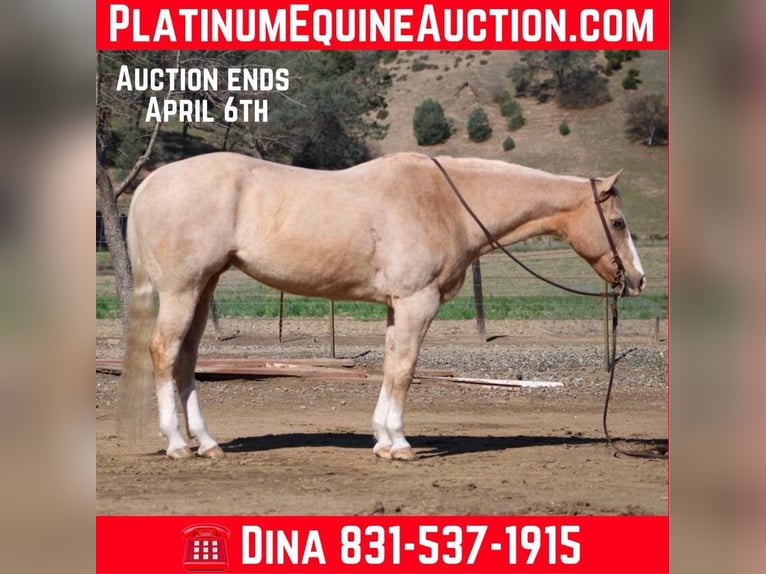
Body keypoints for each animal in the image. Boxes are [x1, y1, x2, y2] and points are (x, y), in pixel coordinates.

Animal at [119, 152, 645, 461]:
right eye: (619, 222)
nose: (637, 280)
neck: (445, 202)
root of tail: (151, 183)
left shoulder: (398, 307)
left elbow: (391, 363)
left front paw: (381, 438)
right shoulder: (417, 302)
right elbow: (404, 369)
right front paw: (400, 444)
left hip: (203, 288)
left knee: (186, 360)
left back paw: (207, 443)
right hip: (183, 290)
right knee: (164, 353)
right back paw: (176, 444)